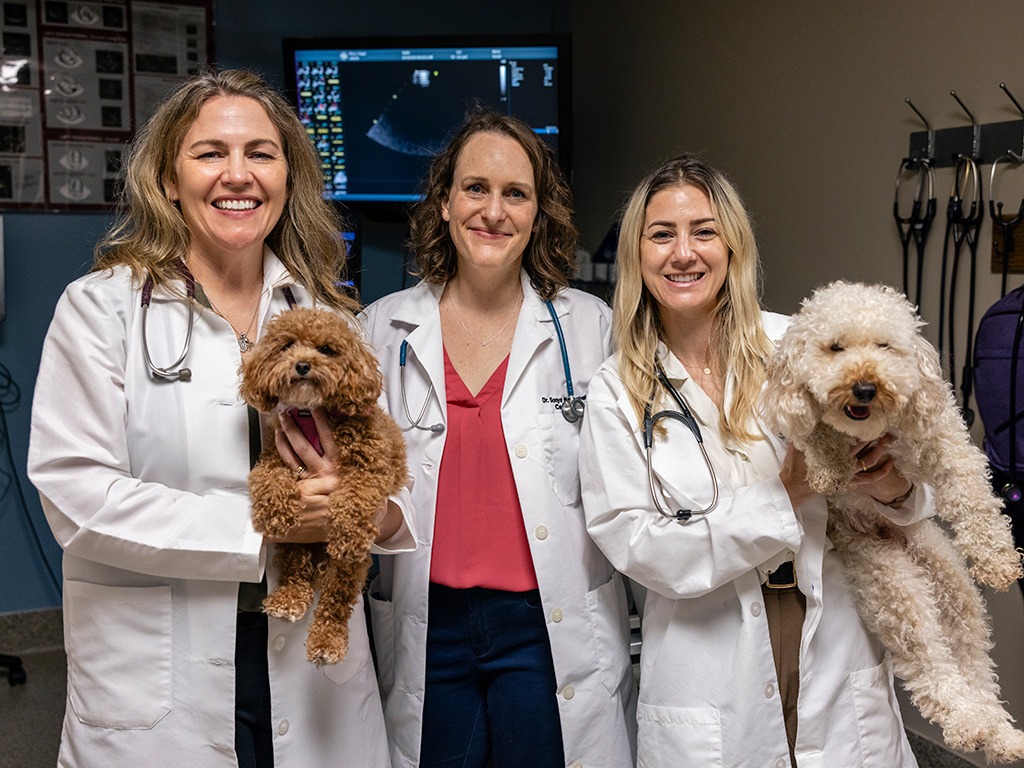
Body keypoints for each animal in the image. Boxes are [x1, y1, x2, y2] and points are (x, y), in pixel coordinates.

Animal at [239, 307, 407, 667]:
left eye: (327, 349)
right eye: (287, 346)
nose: (303, 365)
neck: (309, 414)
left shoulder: (371, 469)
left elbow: (355, 498)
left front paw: (348, 532)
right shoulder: (274, 458)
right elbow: (269, 480)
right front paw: (274, 513)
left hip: (351, 566)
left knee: (336, 598)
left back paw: (327, 639)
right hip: (296, 544)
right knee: (295, 568)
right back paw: (289, 598)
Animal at [761, 280, 1024, 765]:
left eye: (885, 346)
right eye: (835, 347)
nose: (865, 387)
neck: (866, 433)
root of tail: (895, 540)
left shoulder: (942, 439)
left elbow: (971, 493)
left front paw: (996, 557)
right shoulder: (791, 408)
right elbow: (814, 429)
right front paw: (828, 465)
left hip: (949, 581)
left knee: (973, 659)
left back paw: (998, 733)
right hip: (890, 581)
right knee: (927, 661)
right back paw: (966, 723)